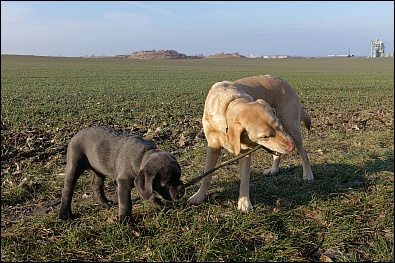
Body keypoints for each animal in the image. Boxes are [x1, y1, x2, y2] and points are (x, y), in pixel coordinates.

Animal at [187, 75, 314, 211]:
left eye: (278, 126)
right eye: (265, 136)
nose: (291, 147)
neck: (228, 106)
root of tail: (283, 80)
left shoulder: (245, 152)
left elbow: (244, 179)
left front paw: (244, 203)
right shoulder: (213, 148)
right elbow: (206, 176)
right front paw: (199, 196)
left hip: (291, 127)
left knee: (303, 153)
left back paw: (308, 174)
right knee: (278, 154)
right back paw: (274, 170)